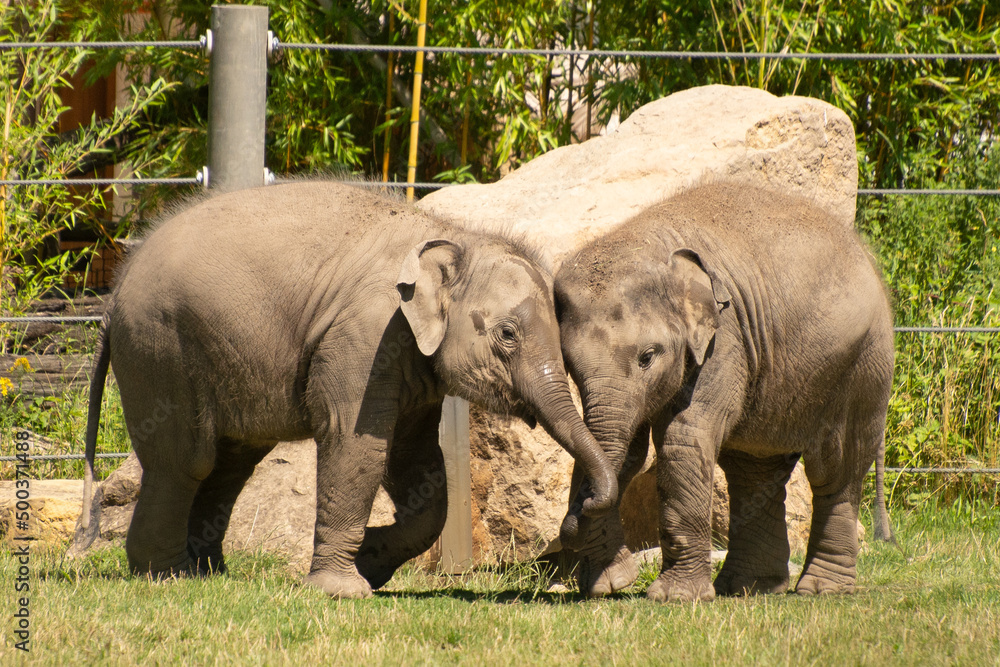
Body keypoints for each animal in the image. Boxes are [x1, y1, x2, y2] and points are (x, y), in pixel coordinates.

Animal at [78, 181, 616, 599]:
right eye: (507, 334)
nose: (578, 513)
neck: (453, 236)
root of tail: (114, 292)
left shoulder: (410, 359)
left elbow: (418, 464)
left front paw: (373, 561)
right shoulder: (366, 335)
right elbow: (357, 445)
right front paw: (344, 590)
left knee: (231, 463)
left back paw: (210, 574)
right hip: (159, 347)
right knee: (186, 461)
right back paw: (167, 576)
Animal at [555, 181, 894, 602]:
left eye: (647, 357)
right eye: (570, 366)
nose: (568, 528)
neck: (649, 242)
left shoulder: (724, 337)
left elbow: (684, 438)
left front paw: (673, 598)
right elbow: (623, 451)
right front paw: (608, 585)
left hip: (862, 363)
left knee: (836, 467)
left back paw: (820, 589)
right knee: (755, 471)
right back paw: (751, 588)